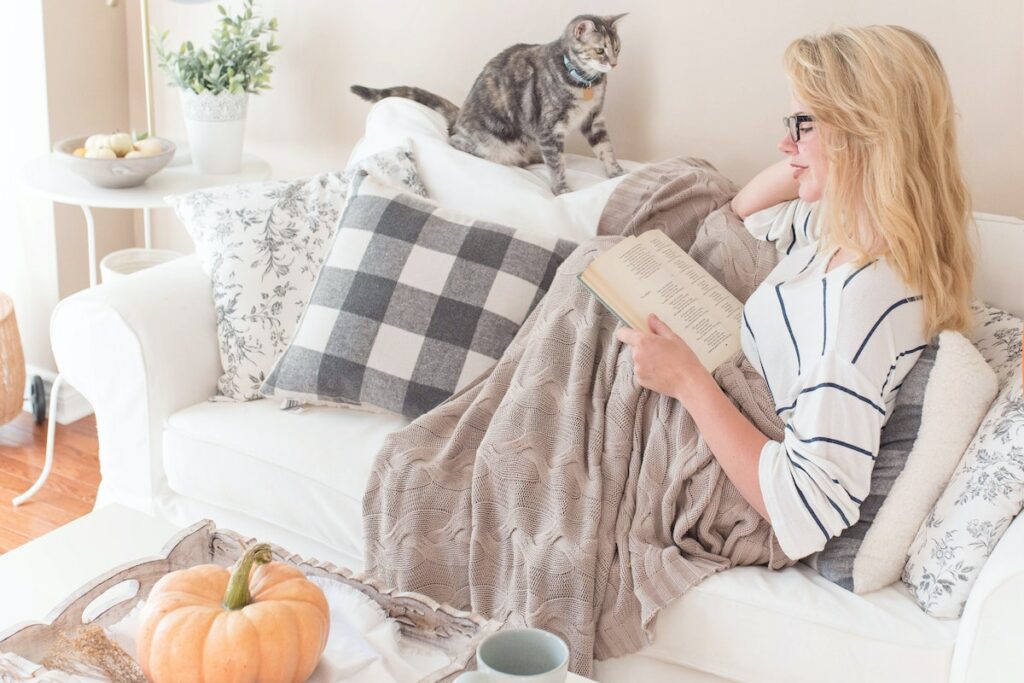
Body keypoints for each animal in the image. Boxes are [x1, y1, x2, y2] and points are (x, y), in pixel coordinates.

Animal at [352, 14, 622, 194]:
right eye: (600, 50)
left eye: (617, 48)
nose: (614, 63)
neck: (585, 84)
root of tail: (459, 117)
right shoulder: (548, 127)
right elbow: (556, 164)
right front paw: (562, 189)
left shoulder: (593, 118)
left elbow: (605, 147)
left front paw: (616, 173)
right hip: (488, 141)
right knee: (454, 143)